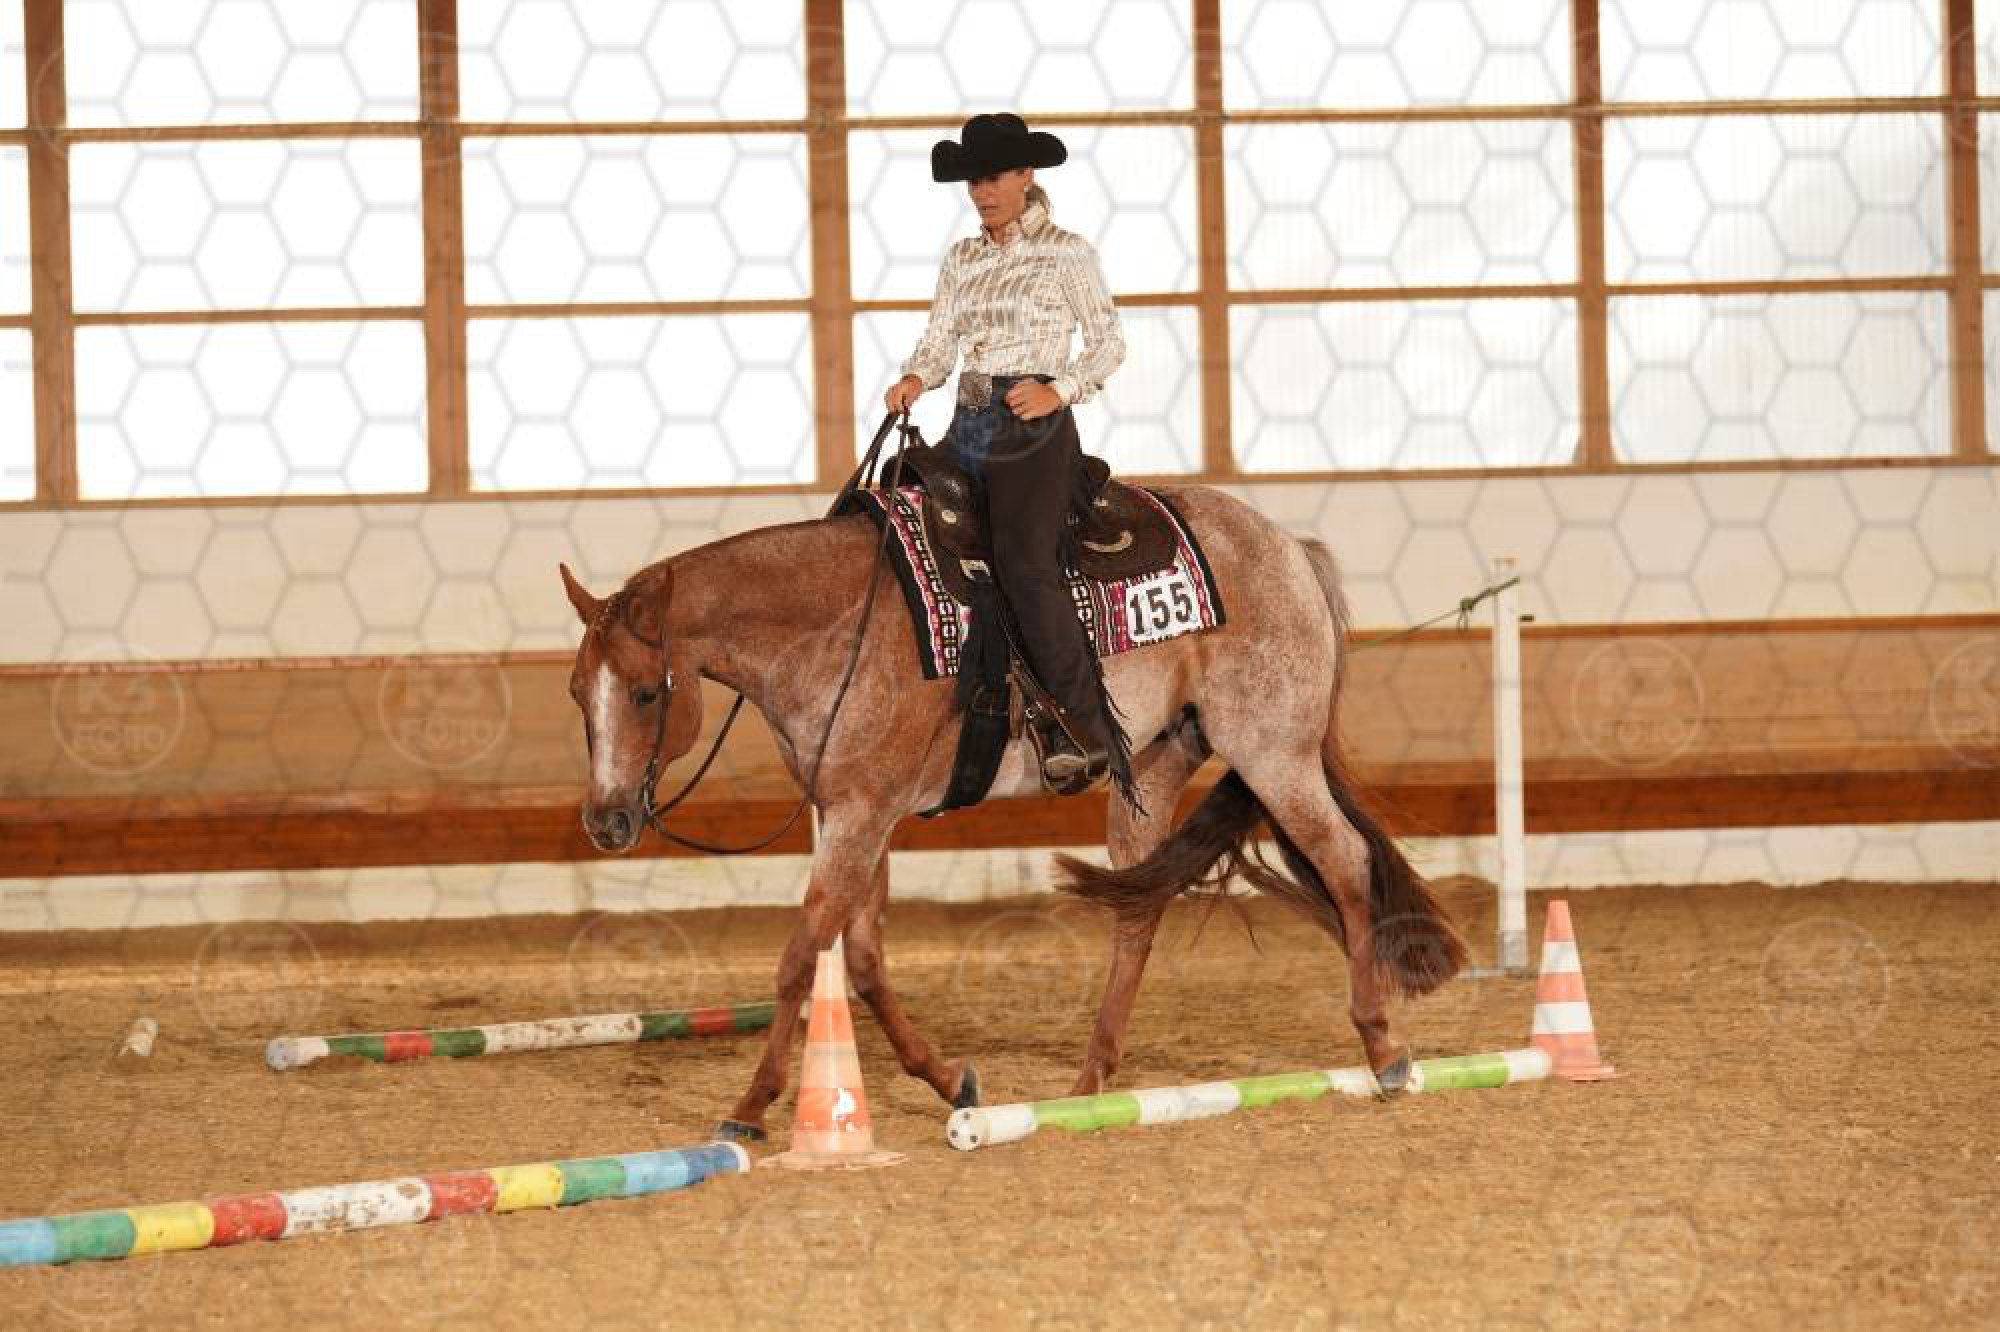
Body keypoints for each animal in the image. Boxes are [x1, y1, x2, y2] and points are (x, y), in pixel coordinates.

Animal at [557, 481, 1468, 1140]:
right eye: (576, 692)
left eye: (643, 693)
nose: (606, 822)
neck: (837, 621)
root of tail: (1289, 550)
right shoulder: (863, 812)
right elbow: (863, 960)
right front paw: (950, 1080)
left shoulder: (860, 816)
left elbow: (802, 957)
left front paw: (750, 1109)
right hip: (1159, 768)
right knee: (1140, 906)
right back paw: (1089, 1084)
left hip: (1273, 752)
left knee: (1344, 861)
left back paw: (1384, 1048)